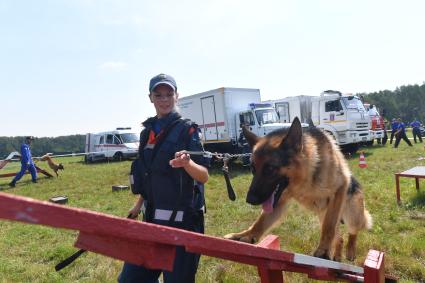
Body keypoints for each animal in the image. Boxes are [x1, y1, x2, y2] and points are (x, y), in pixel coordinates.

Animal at [225, 117, 372, 262]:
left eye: (270, 169)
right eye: (252, 169)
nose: (249, 200)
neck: (305, 178)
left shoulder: (340, 188)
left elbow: (329, 226)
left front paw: (323, 250)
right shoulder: (279, 201)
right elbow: (261, 221)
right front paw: (247, 235)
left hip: (351, 215)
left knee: (353, 231)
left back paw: (350, 251)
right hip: (323, 215)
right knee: (339, 238)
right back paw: (336, 256)